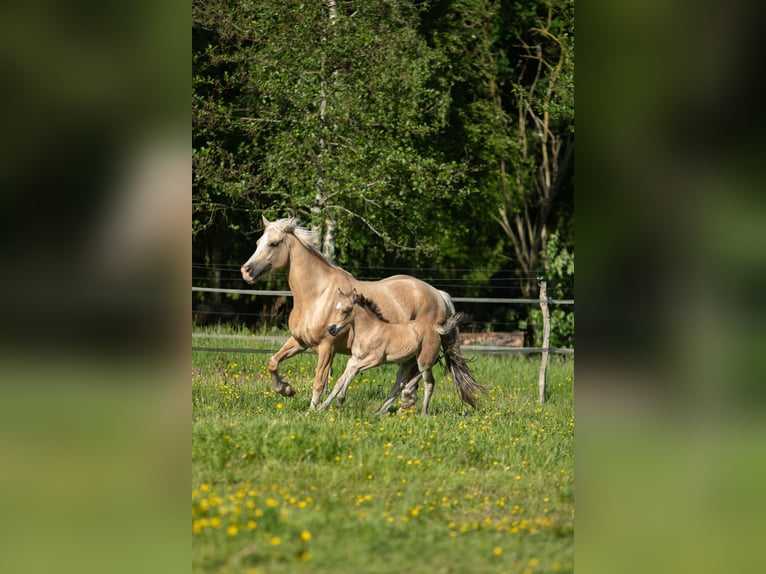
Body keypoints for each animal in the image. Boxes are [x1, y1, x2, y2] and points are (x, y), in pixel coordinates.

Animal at [319, 289, 484, 414]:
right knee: (400, 384)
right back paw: (383, 410)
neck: (369, 331)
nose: (331, 328)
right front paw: (322, 407)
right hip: (408, 362)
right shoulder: (354, 358)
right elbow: (341, 379)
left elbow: (352, 372)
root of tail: (435, 328)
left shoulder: (375, 359)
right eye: (335, 308)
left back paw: (422, 412)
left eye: (346, 310)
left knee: (429, 383)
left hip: (423, 361)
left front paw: (340, 401)